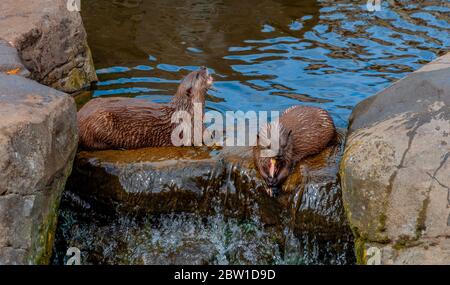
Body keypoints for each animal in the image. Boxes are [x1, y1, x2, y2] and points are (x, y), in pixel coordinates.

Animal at [77, 67, 213, 150]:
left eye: (197, 69)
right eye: (197, 75)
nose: (204, 67)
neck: (189, 112)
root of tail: (79, 116)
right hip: (100, 122)